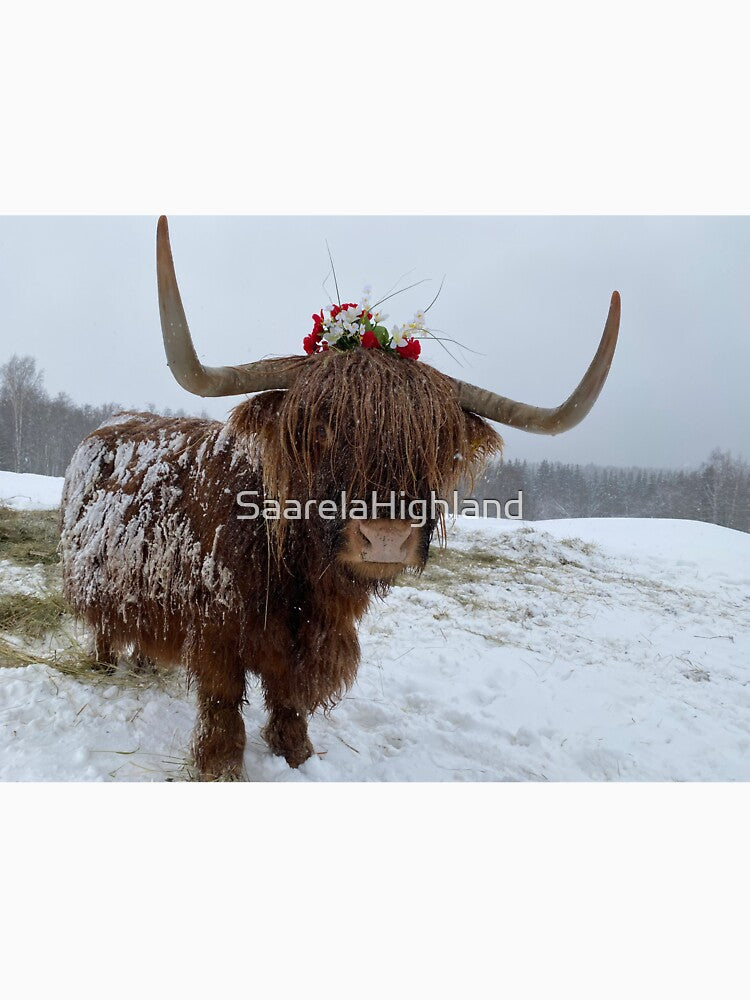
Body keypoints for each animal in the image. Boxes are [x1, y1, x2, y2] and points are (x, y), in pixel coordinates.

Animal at [59, 217, 620, 779]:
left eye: (436, 443)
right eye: (322, 430)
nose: (386, 538)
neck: (295, 568)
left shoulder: (308, 641)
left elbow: (289, 699)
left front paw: (297, 754)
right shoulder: (218, 629)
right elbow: (222, 701)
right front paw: (219, 765)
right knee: (106, 626)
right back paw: (106, 664)